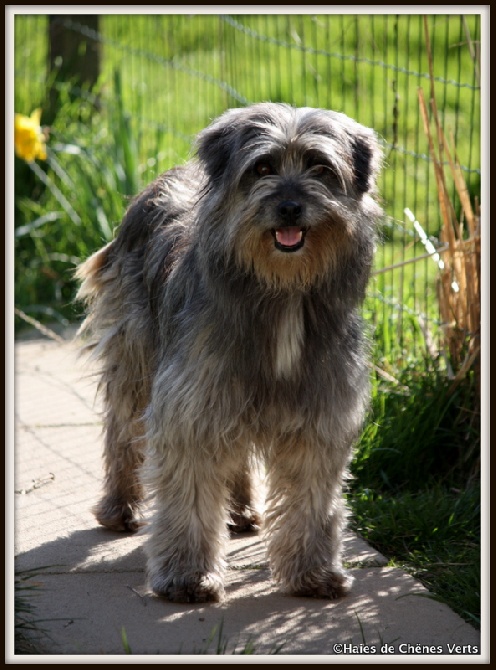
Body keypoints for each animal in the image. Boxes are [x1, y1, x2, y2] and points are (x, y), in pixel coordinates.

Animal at [75, 102, 382, 608]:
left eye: (321, 167)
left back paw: (241, 509)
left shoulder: (319, 418)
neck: (282, 289)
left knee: (234, 454)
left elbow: (311, 500)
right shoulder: (190, 407)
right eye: (262, 168)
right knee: (121, 430)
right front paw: (187, 577)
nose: (290, 207)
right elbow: (190, 495)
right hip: (137, 357)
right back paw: (119, 506)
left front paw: (312, 572)